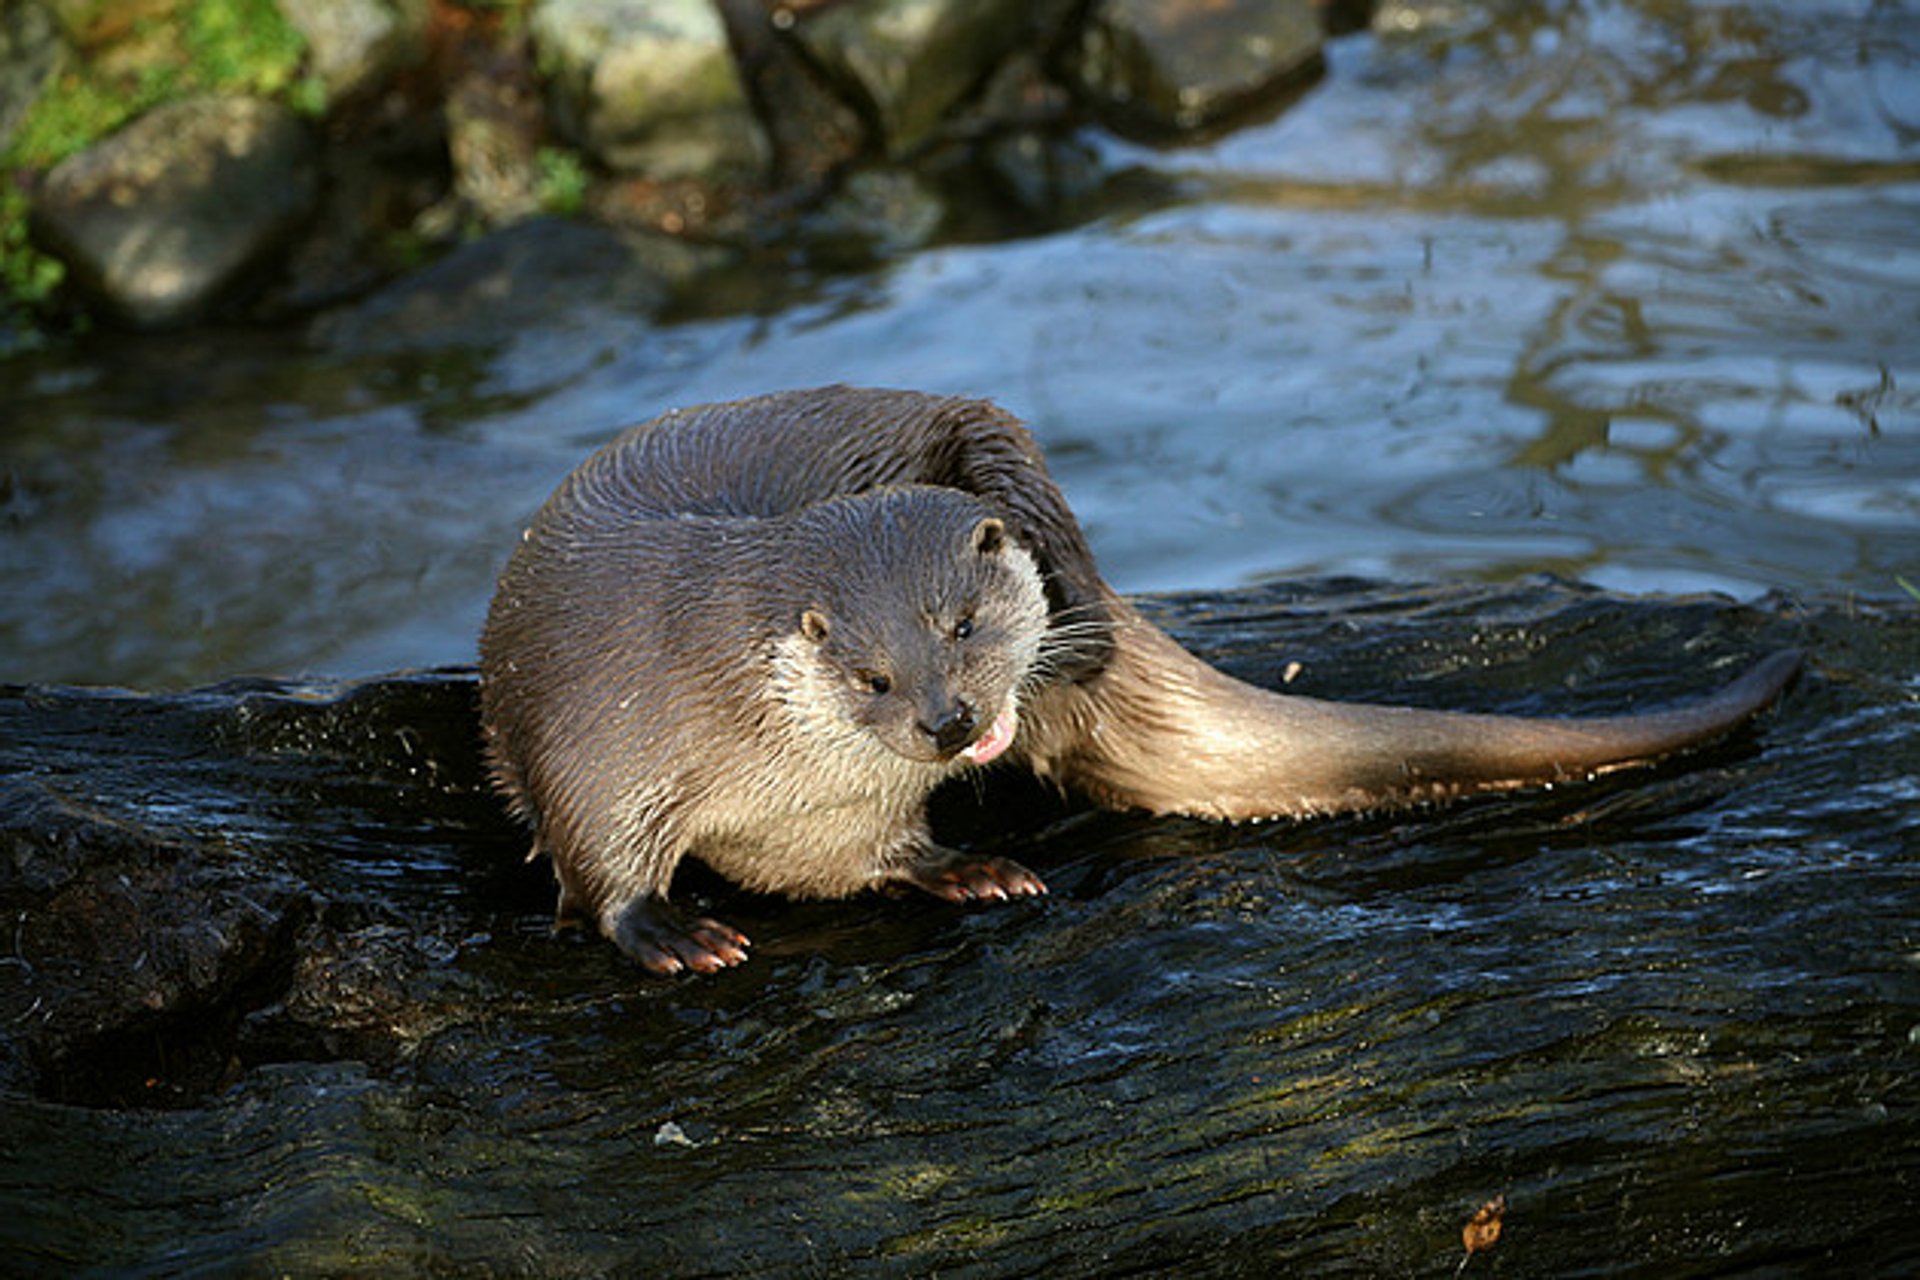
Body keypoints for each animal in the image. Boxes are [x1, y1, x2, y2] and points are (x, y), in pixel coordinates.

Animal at [480, 386, 1801, 974]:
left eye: (962, 623)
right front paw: (671, 931)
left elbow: (864, 861)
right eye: (870, 674)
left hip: (996, 439)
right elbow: (600, 862)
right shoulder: (606, 727)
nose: (950, 719)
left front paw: (963, 865)